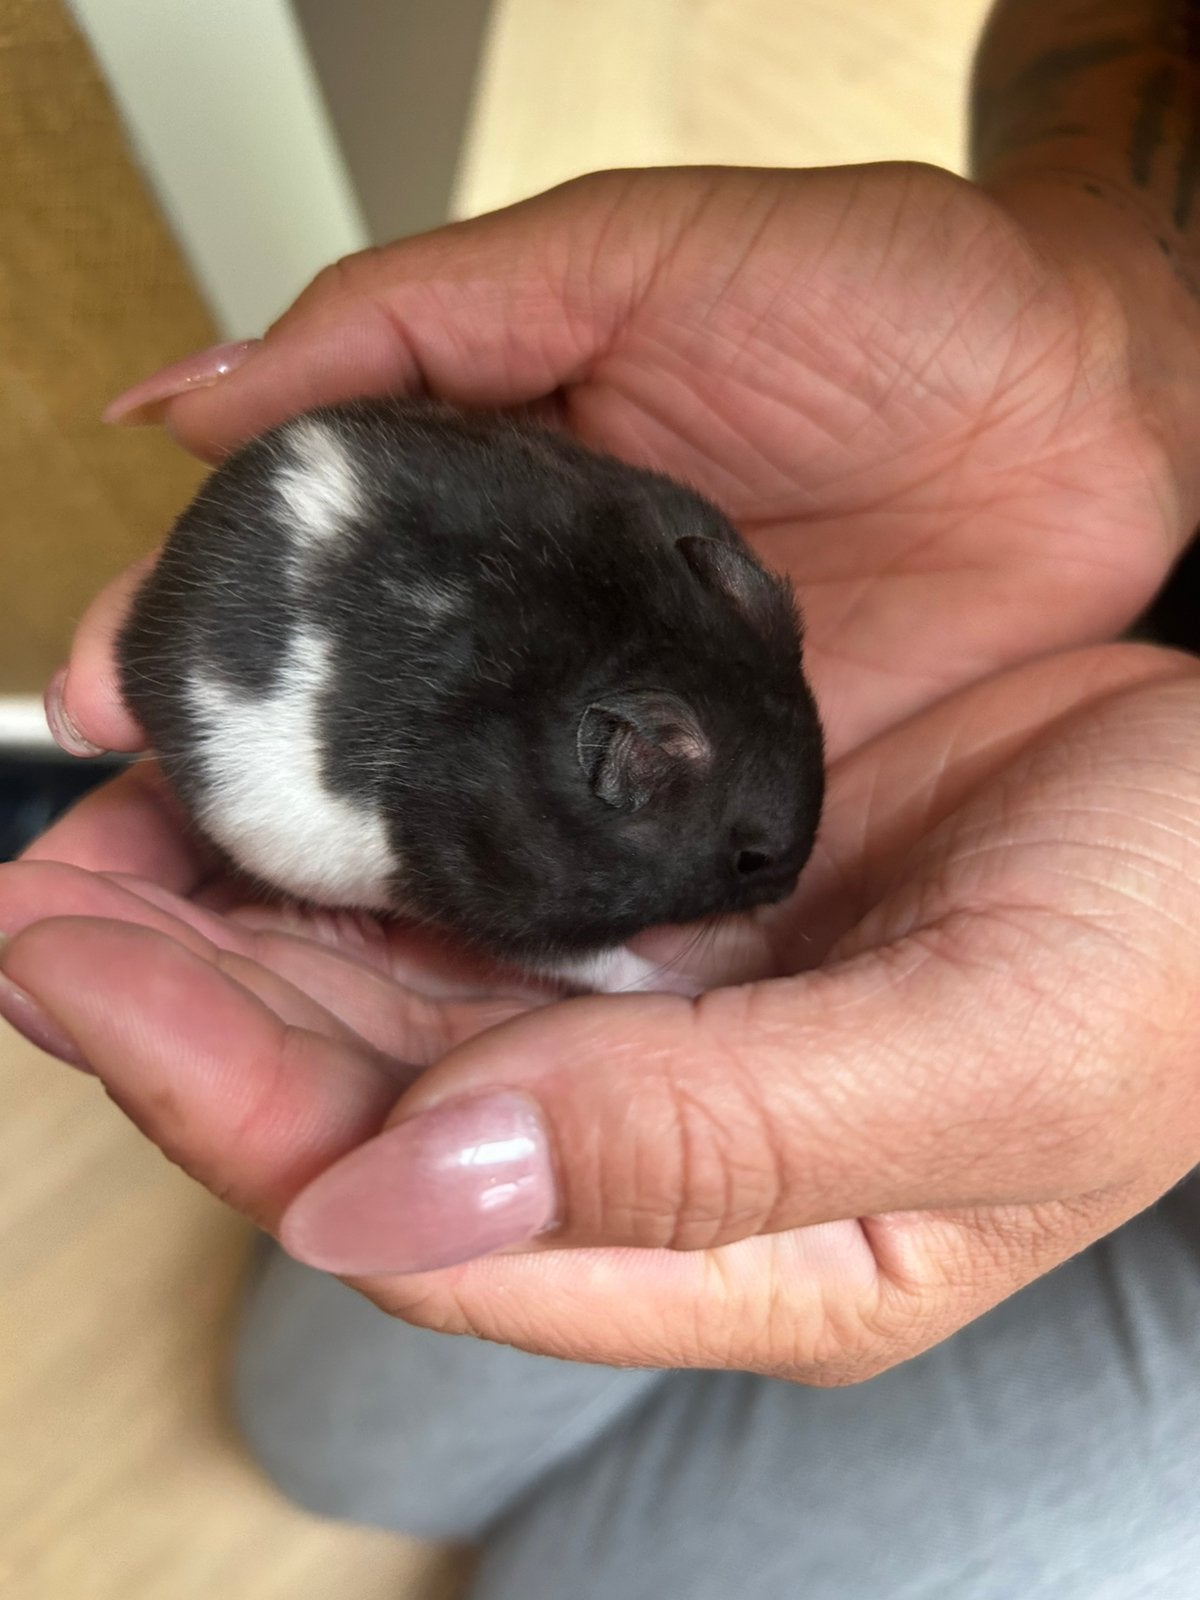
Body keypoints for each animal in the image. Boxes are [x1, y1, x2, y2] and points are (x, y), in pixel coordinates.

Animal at [117, 398, 824, 992]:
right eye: (750, 859)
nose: (789, 894)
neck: (619, 646)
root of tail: (139, 628)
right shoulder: (507, 899)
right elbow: (602, 963)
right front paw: (682, 981)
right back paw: (339, 925)